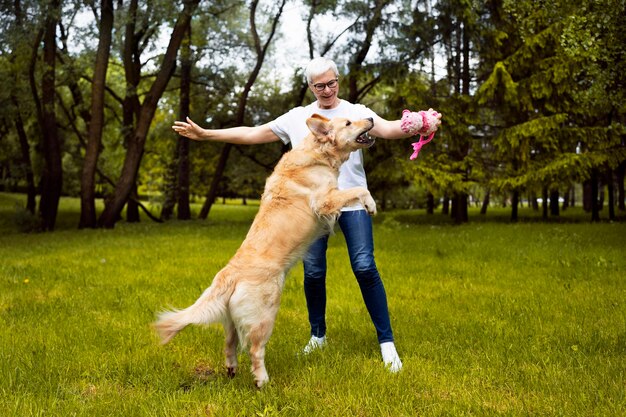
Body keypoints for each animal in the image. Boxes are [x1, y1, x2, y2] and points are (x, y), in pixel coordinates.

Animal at [155, 114, 376, 386]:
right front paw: (370, 204)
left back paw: (232, 370)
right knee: (254, 349)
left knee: (229, 344)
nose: (371, 117)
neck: (319, 154)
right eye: (348, 123)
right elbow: (359, 190)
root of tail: (229, 275)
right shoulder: (324, 200)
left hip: (232, 319)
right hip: (265, 315)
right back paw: (262, 381)